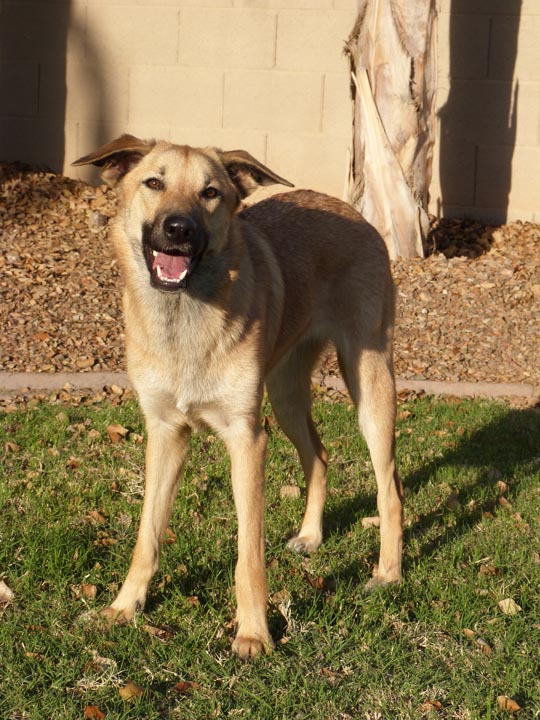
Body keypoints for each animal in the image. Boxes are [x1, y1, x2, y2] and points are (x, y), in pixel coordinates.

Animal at [71, 135, 402, 660]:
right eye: (153, 182)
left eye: (211, 193)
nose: (178, 228)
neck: (185, 316)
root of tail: (352, 211)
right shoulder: (165, 434)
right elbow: (147, 536)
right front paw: (124, 608)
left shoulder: (248, 440)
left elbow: (248, 555)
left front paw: (253, 633)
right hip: (285, 395)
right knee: (319, 455)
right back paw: (311, 536)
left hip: (368, 385)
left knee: (390, 486)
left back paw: (387, 573)